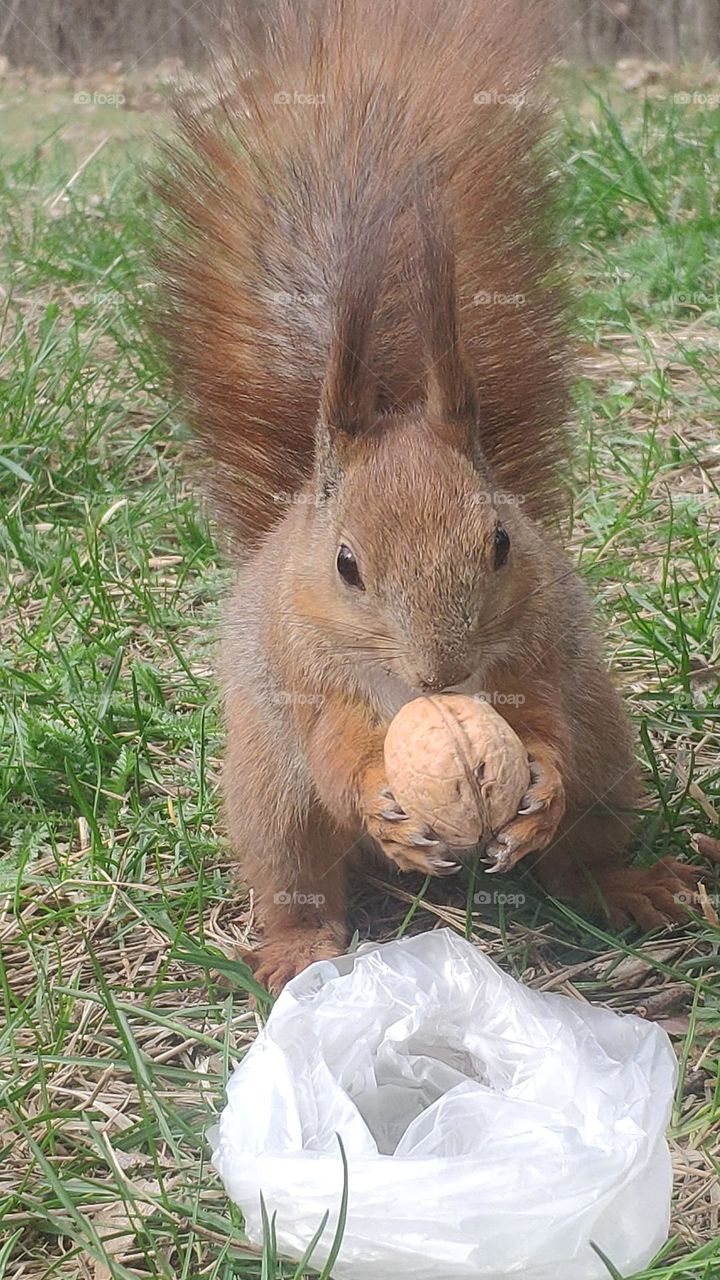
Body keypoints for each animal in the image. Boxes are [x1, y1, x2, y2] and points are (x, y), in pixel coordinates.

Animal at [155, 0, 713, 990]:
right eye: (345, 564)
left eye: (501, 543)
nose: (442, 676)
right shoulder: (308, 672)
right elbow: (336, 752)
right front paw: (381, 798)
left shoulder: (535, 644)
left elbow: (540, 720)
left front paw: (539, 786)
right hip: (268, 794)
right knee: (299, 869)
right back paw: (298, 944)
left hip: (611, 753)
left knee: (582, 851)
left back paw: (625, 884)